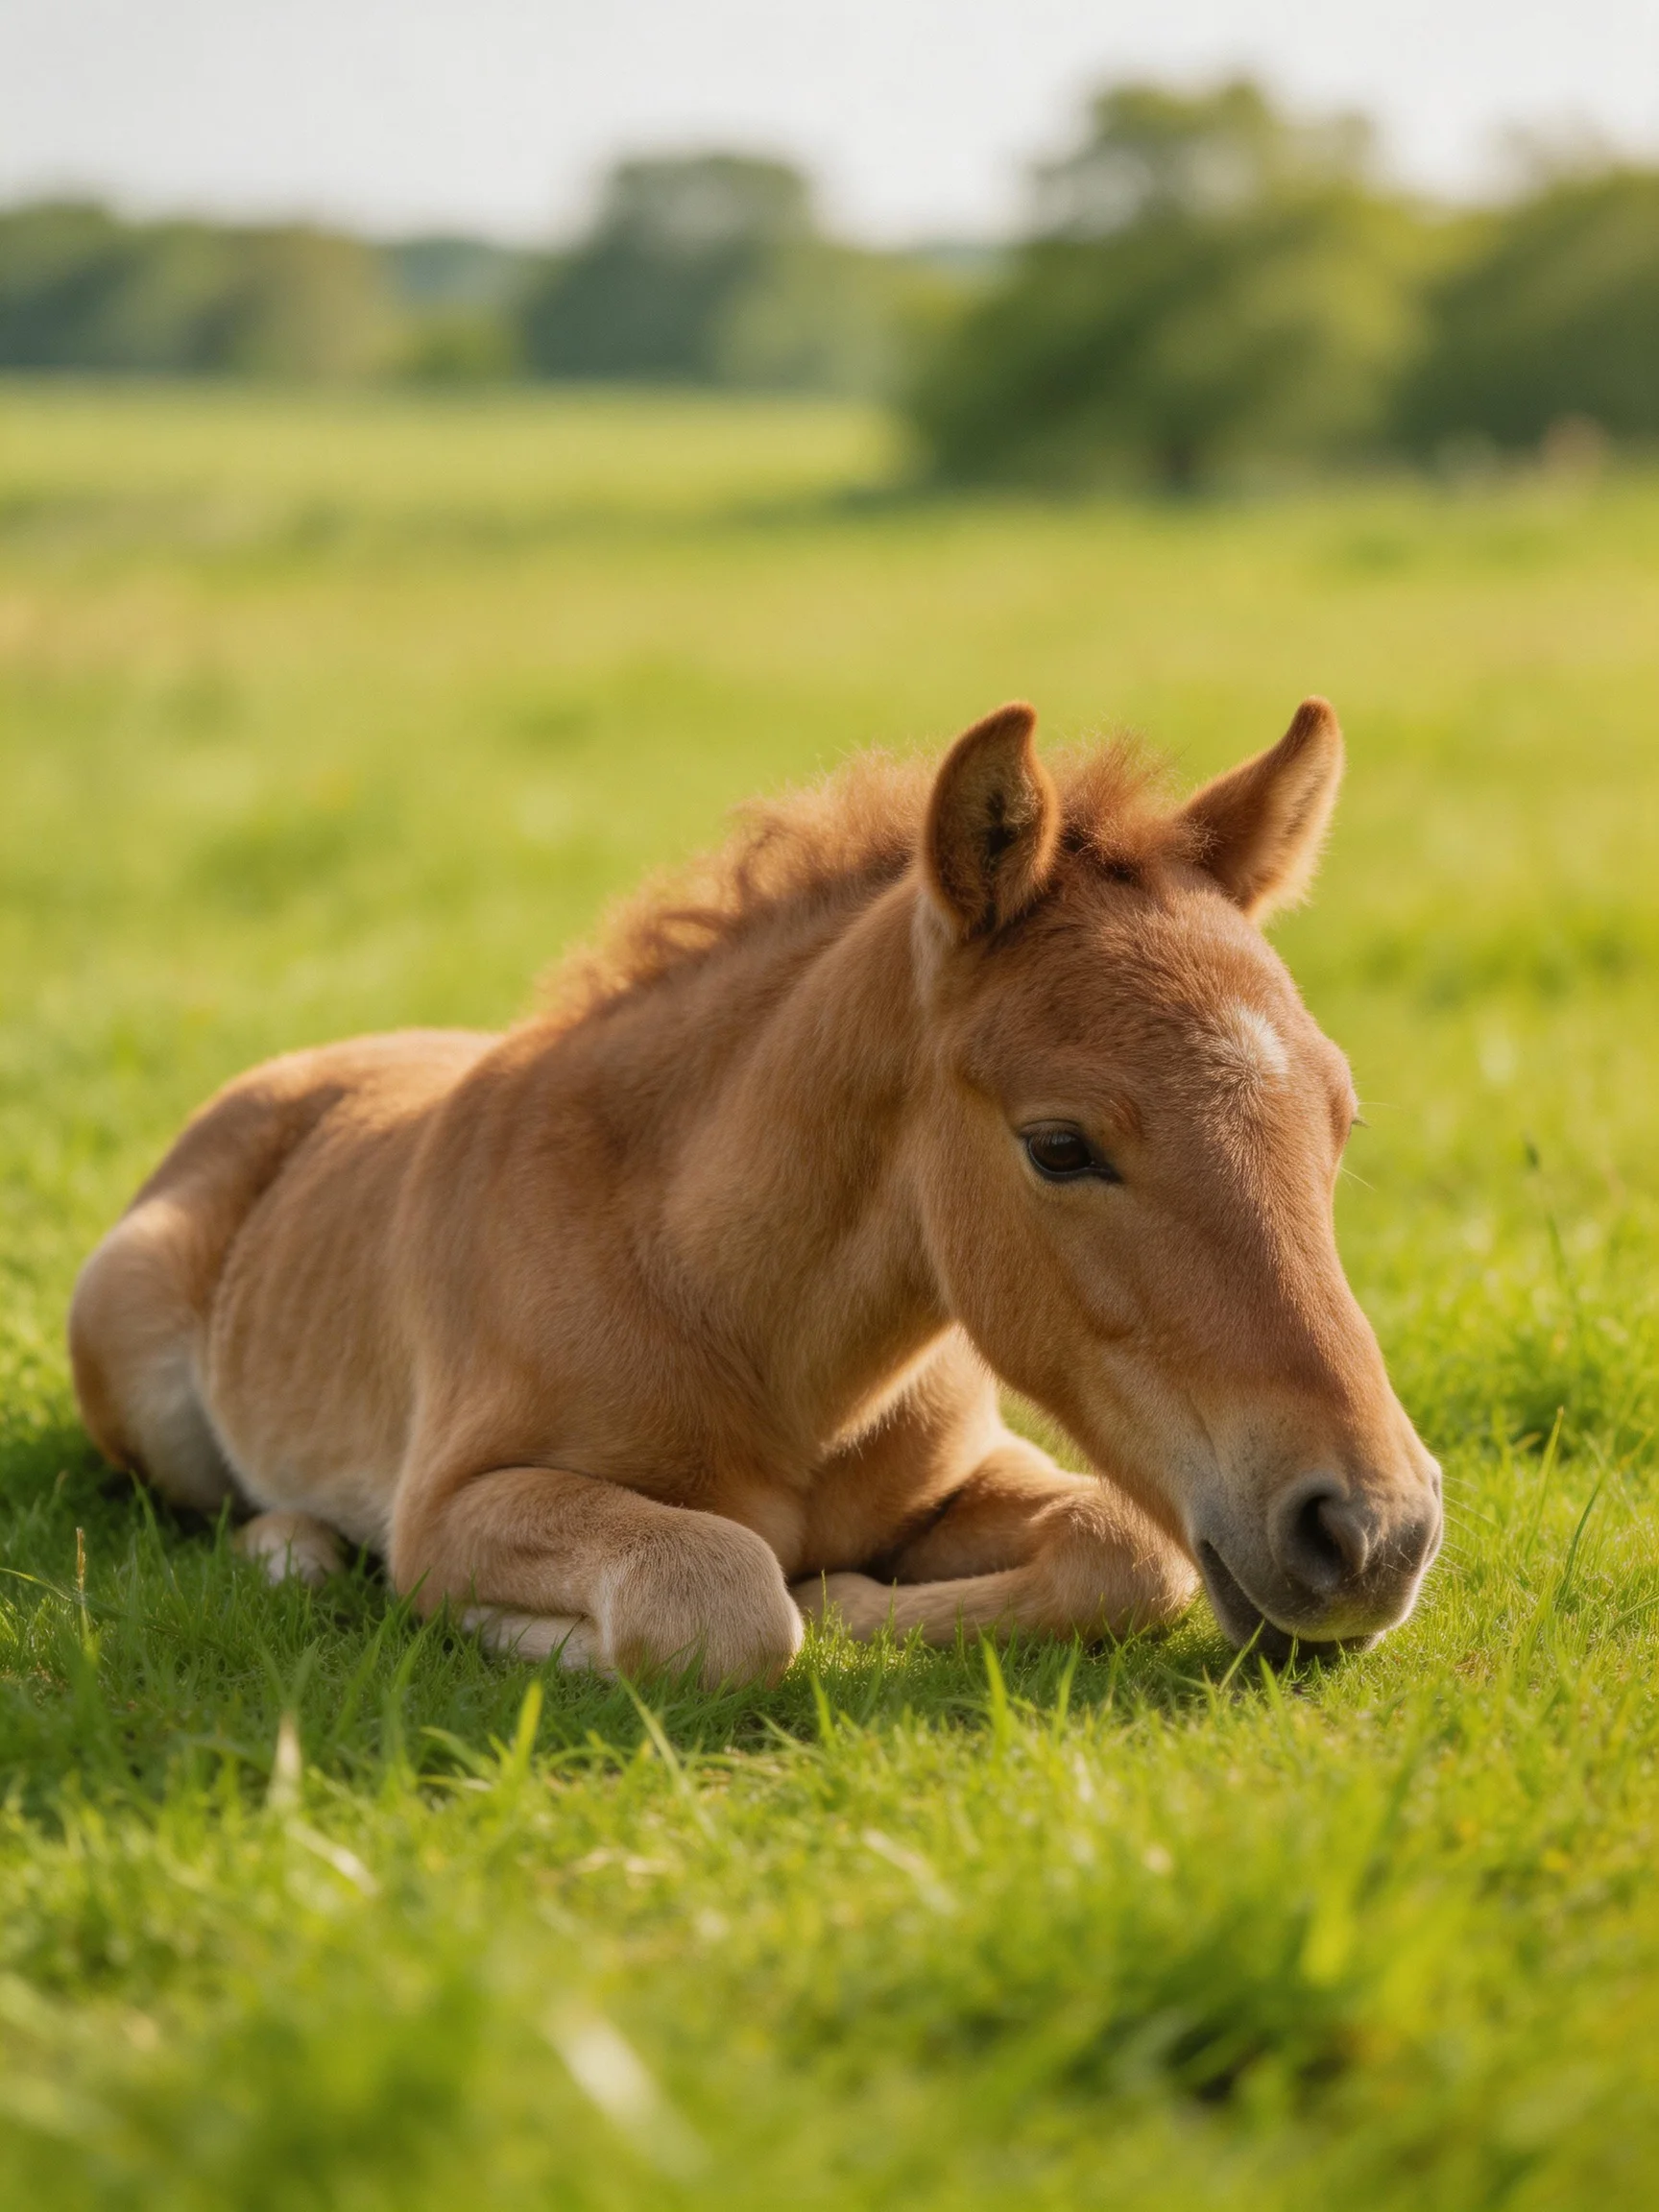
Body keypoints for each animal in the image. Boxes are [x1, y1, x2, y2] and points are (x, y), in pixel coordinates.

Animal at [69, 697, 1442, 1684]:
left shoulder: (973, 1469)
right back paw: (296, 1550)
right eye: (1059, 1146)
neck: (733, 1315)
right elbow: (719, 1598)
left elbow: (1129, 1549)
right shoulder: (459, 1503)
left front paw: (845, 1595)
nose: (1373, 1533)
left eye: (1340, 1121)